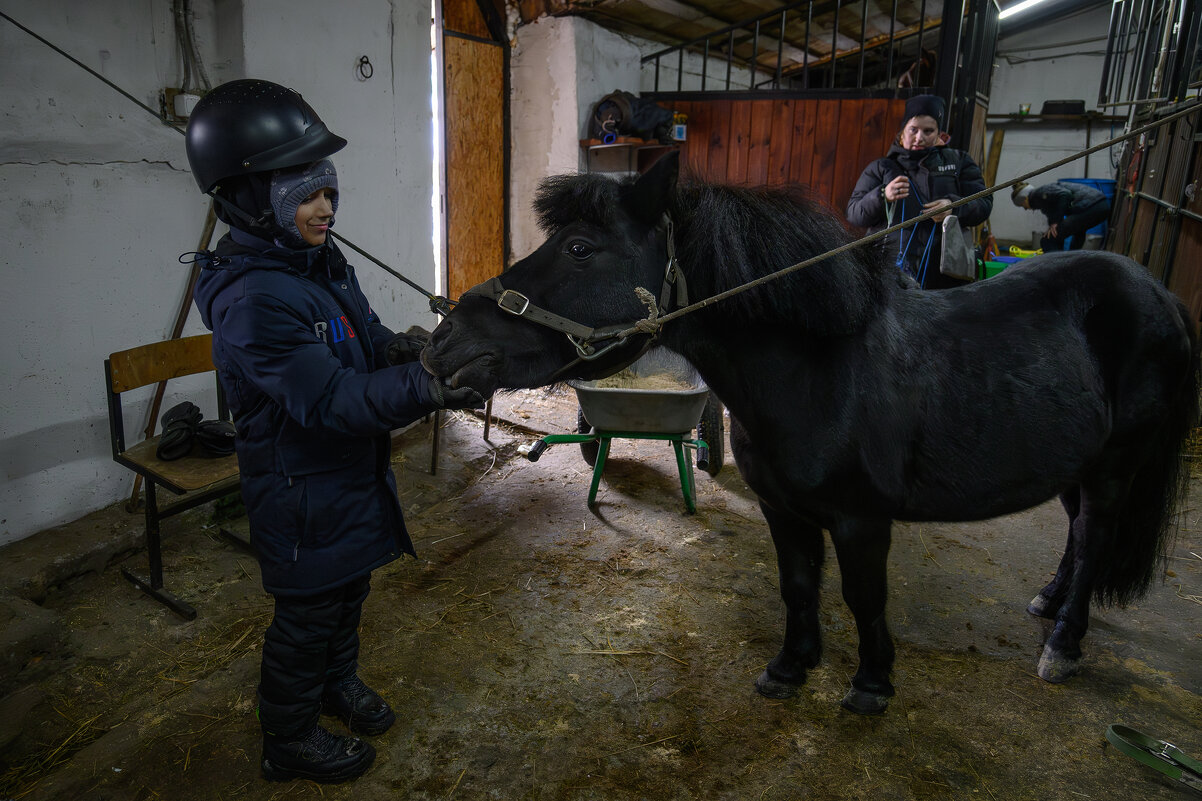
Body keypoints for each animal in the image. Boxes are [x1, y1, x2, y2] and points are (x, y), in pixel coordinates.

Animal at [420, 152, 1192, 712]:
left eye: (580, 247)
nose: (446, 340)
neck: (819, 371)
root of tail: (1160, 293)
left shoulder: (861, 520)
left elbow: (863, 597)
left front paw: (872, 685)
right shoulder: (783, 510)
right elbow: (797, 586)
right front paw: (791, 668)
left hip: (1114, 467)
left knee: (1093, 543)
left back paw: (1063, 643)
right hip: (1075, 462)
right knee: (1076, 537)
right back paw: (1049, 602)